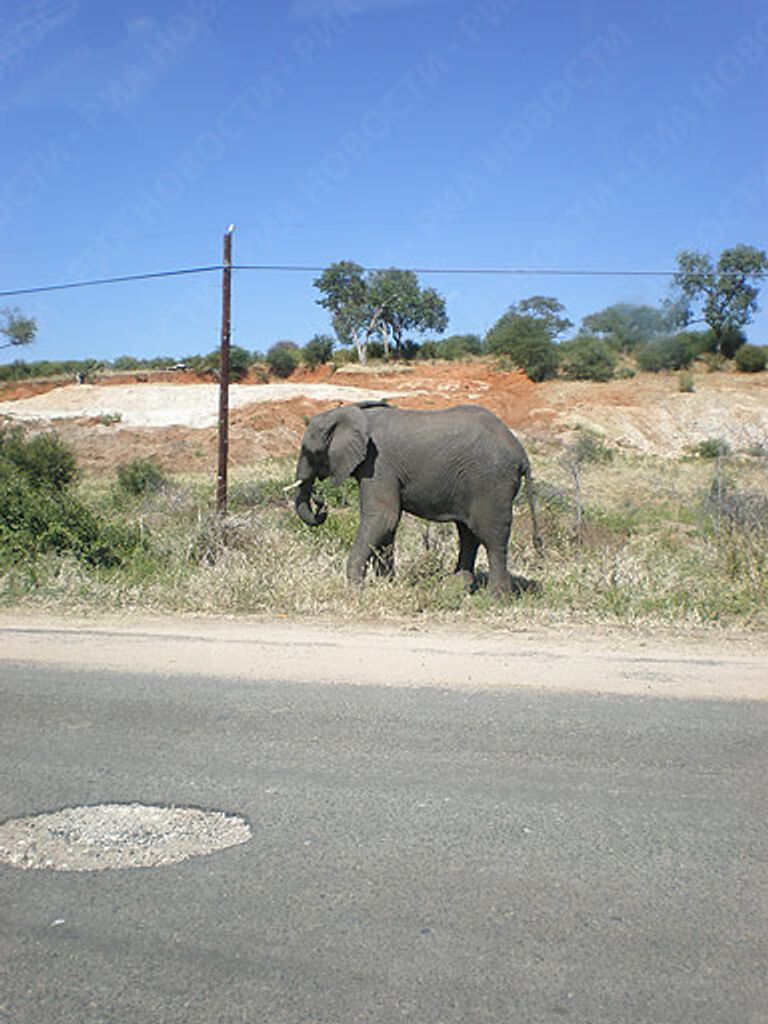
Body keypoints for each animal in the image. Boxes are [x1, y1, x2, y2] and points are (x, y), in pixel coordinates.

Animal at [292, 399, 540, 593]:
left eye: (309, 452)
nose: (319, 501)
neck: (351, 412)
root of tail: (522, 454)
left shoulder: (378, 463)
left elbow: (383, 517)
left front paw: (356, 591)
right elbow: (387, 525)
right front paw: (387, 586)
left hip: (493, 482)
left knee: (492, 537)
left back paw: (496, 597)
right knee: (468, 534)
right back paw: (455, 589)